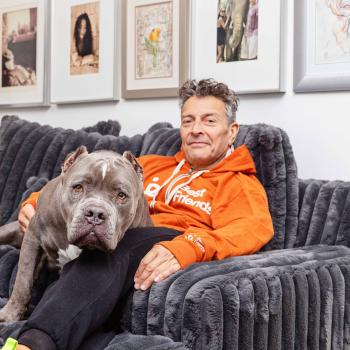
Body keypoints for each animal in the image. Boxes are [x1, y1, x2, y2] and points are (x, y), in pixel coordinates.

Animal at [0, 146, 152, 322]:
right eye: (78, 187)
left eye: (121, 195)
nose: (95, 213)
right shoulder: (33, 236)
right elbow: (23, 280)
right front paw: (10, 315)